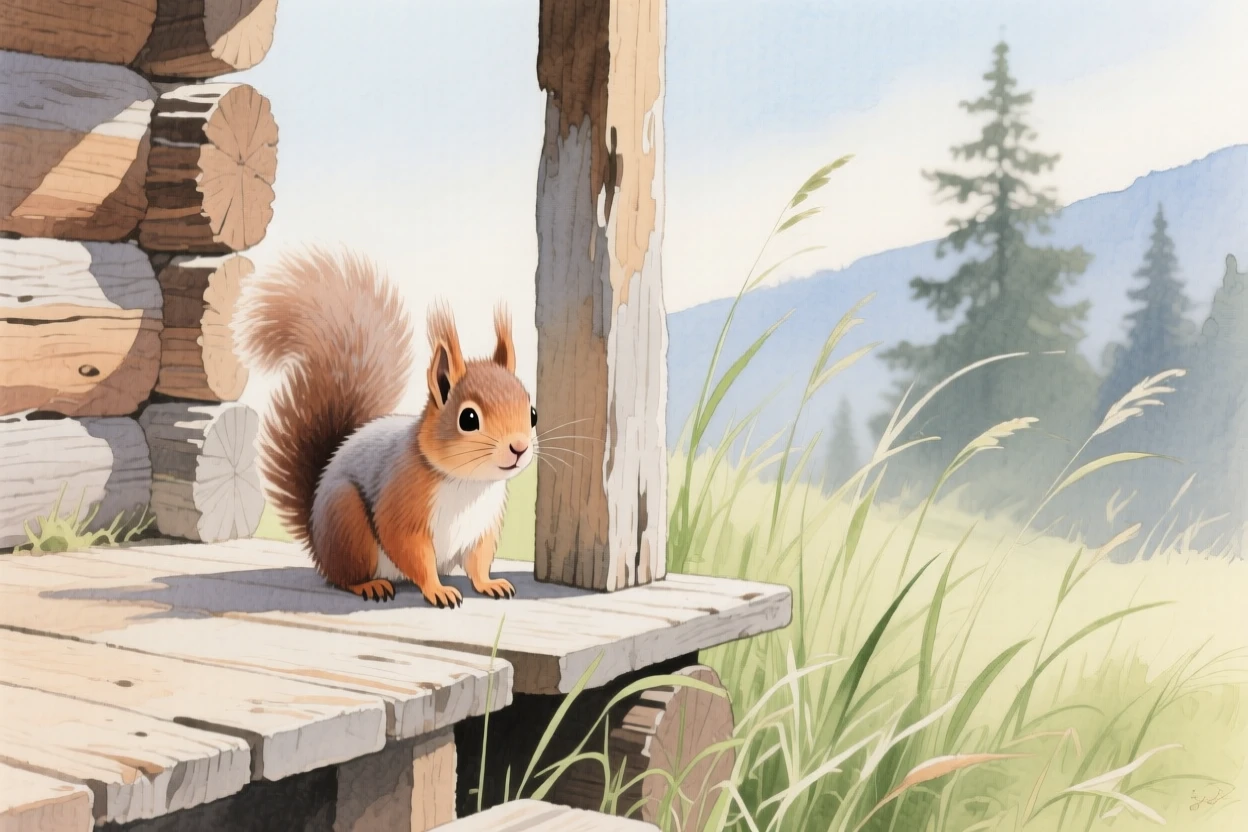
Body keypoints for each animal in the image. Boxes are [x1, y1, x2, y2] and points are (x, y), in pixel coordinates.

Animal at [236, 247, 535, 608]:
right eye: (468, 419)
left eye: (532, 413)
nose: (519, 448)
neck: (468, 484)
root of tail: (318, 544)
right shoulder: (402, 501)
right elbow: (410, 549)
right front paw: (436, 590)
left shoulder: (483, 527)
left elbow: (478, 561)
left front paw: (489, 584)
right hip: (348, 524)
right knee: (344, 577)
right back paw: (370, 585)